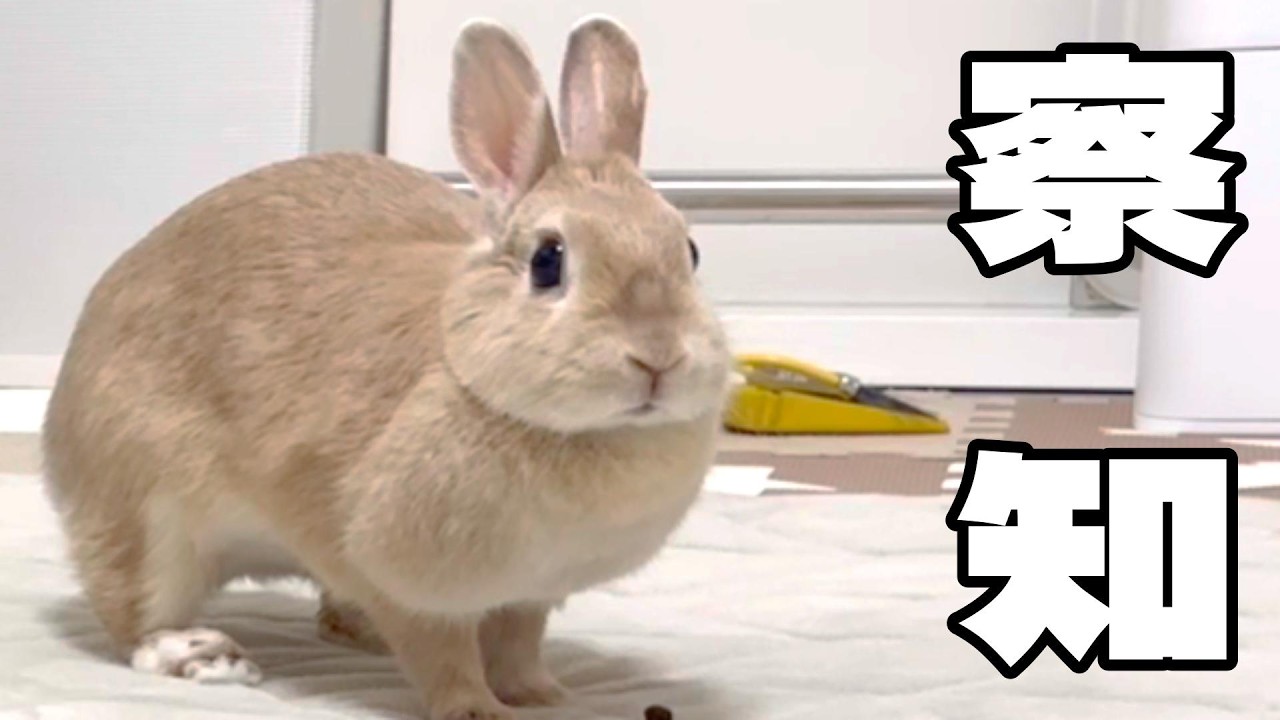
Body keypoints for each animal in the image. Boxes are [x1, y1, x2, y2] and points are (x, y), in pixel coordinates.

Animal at [41, 16, 730, 720]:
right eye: (548, 261)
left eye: (690, 252)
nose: (659, 356)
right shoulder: (408, 585)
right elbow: (443, 657)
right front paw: (478, 711)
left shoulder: (528, 594)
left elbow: (518, 643)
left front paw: (544, 697)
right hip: (148, 514)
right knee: (132, 612)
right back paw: (204, 656)